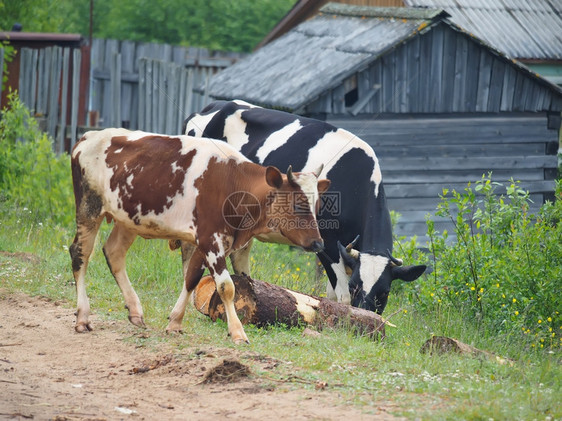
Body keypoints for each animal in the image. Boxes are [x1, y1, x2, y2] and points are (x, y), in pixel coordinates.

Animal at [69, 127, 328, 342]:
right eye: (298, 205)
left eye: (316, 206)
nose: (318, 243)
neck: (233, 183)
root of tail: (88, 136)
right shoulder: (210, 240)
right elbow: (226, 287)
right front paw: (237, 332)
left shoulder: (209, 241)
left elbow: (191, 278)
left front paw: (175, 322)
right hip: (89, 207)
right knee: (79, 254)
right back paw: (83, 316)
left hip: (128, 219)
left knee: (114, 253)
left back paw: (135, 310)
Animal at [180, 100, 424, 314]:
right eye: (355, 286)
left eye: (384, 293)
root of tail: (213, 106)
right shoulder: (327, 243)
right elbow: (342, 296)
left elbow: (332, 294)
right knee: (189, 248)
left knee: (239, 253)